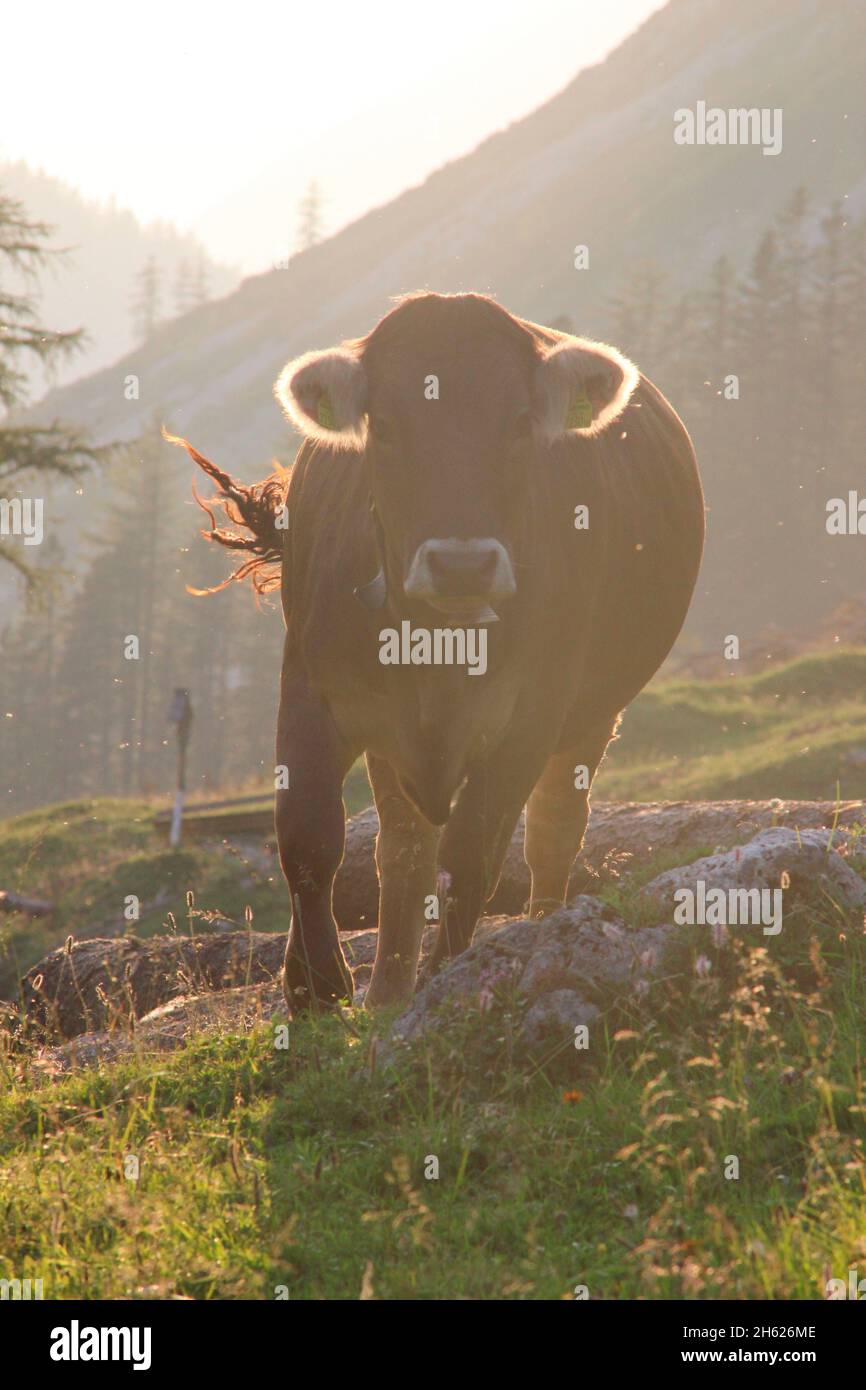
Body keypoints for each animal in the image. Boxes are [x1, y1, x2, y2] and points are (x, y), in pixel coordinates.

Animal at [174, 290, 706, 1011]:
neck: (436, 648)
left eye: (519, 423)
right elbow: (308, 834)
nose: (462, 565)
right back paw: (385, 990)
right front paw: (316, 988)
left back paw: (540, 926)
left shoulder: (534, 710)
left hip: (593, 711)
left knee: (551, 829)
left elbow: (475, 852)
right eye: (386, 425)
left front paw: (445, 979)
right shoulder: (310, 685)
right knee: (401, 851)